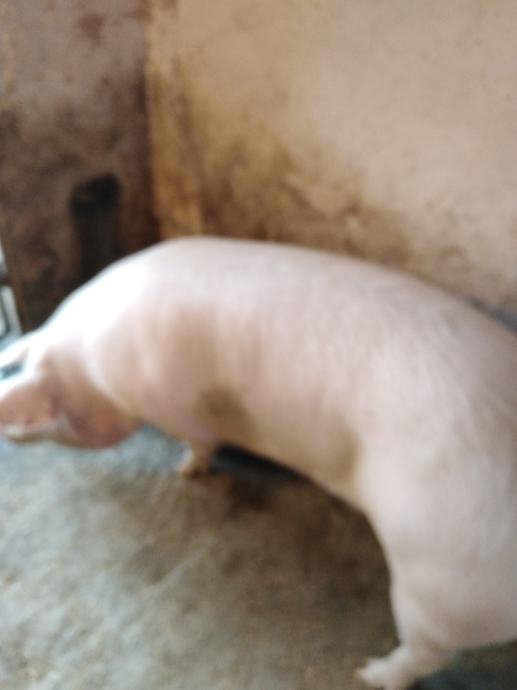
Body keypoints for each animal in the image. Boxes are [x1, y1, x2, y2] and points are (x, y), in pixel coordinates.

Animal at [0, 235, 516, 689]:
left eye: (49, 412)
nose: (14, 431)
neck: (91, 367)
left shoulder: (173, 405)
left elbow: (200, 441)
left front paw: (186, 470)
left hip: (438, 577)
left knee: (429, 653)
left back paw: (370, 674)